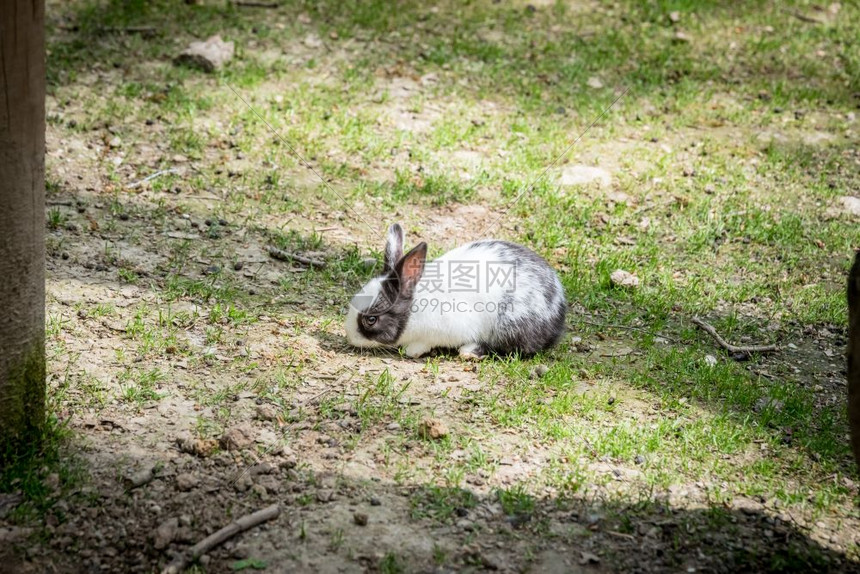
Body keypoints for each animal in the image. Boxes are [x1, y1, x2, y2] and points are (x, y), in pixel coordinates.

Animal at [346, 225, 568, 360]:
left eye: (371, 319)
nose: (350, 337)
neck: (414, 308)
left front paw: (412, 351)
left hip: (510, 326)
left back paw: (469, 351)